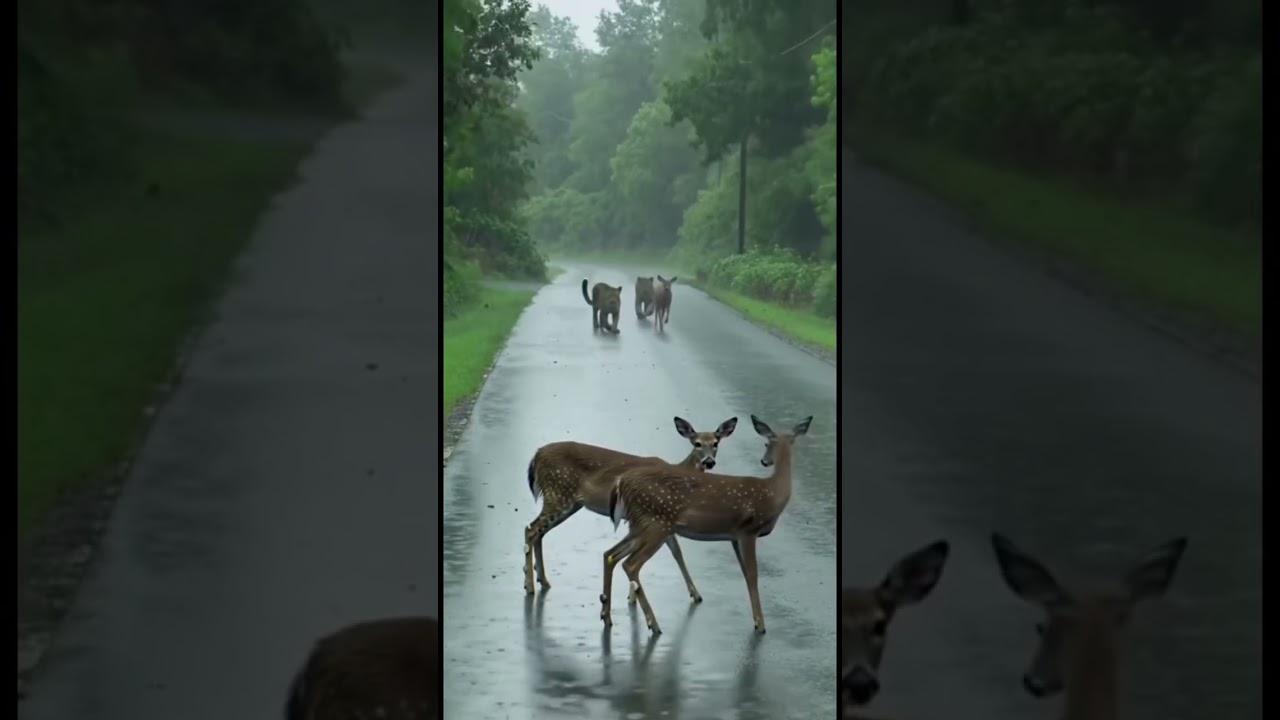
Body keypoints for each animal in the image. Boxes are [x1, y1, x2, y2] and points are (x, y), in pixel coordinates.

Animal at [524, 415, 739, 603]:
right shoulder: (660, 516)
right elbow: (673, 552)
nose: (709, 462)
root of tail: (536, 455)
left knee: (538, 531)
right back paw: (530, 586)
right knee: (531, 529)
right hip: (559, 492)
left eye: (716, 443)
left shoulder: (663, 519)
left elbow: (676, 552)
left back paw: (543, 580)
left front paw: (694, 594)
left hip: (568, 501)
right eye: (697, 443)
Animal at [599, 414, 812, 635]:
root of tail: (621, 484)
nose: (765, 461)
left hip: (640, 525)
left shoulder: (734, 536)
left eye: (772, 443)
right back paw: (654, 625)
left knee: (610, 554)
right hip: (657, 524)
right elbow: (753, 575)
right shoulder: (748, 529)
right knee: (630, 564)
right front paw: (760, 625)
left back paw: (607, 616)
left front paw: (756, 620)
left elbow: (745, 574)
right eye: (766, 442)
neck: (773, 494)